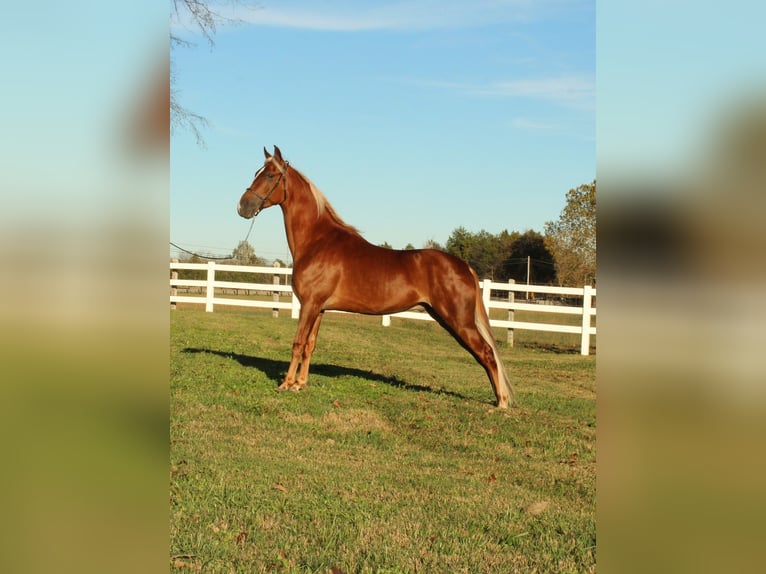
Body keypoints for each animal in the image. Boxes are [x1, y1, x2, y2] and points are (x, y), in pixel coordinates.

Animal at [237, 146, 516, 412]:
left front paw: (286, 384)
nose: (242, 206)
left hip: (459, 321)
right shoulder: (318, 308)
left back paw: (501, 403)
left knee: (487, 353)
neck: (317, 240)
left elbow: (297, 343)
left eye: (270, 175)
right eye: (256, 173)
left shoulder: (309, 305)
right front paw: (300, 384)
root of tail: (464, 266)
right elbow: (309, 345)